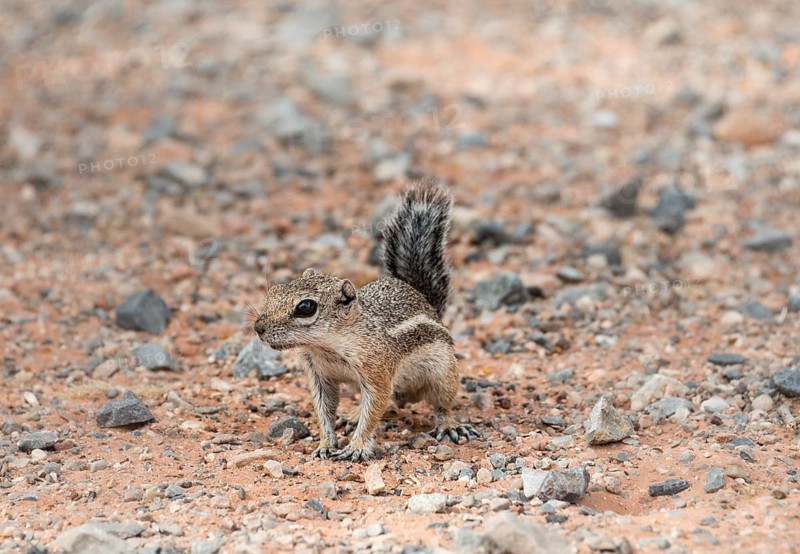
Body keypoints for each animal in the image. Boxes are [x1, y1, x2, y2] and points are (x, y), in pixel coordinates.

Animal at [254, 181, 478, 461]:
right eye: (274, 290)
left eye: (305, 307)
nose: (258, 328)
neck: (326, 346)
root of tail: (426, 301)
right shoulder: (319, 376)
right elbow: (324, 409)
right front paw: (325, 443)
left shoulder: (377, 370)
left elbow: (374, 409)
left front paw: (356, 447)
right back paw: (351, 416)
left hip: (444, 371)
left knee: (442, 403)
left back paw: (449, 425)